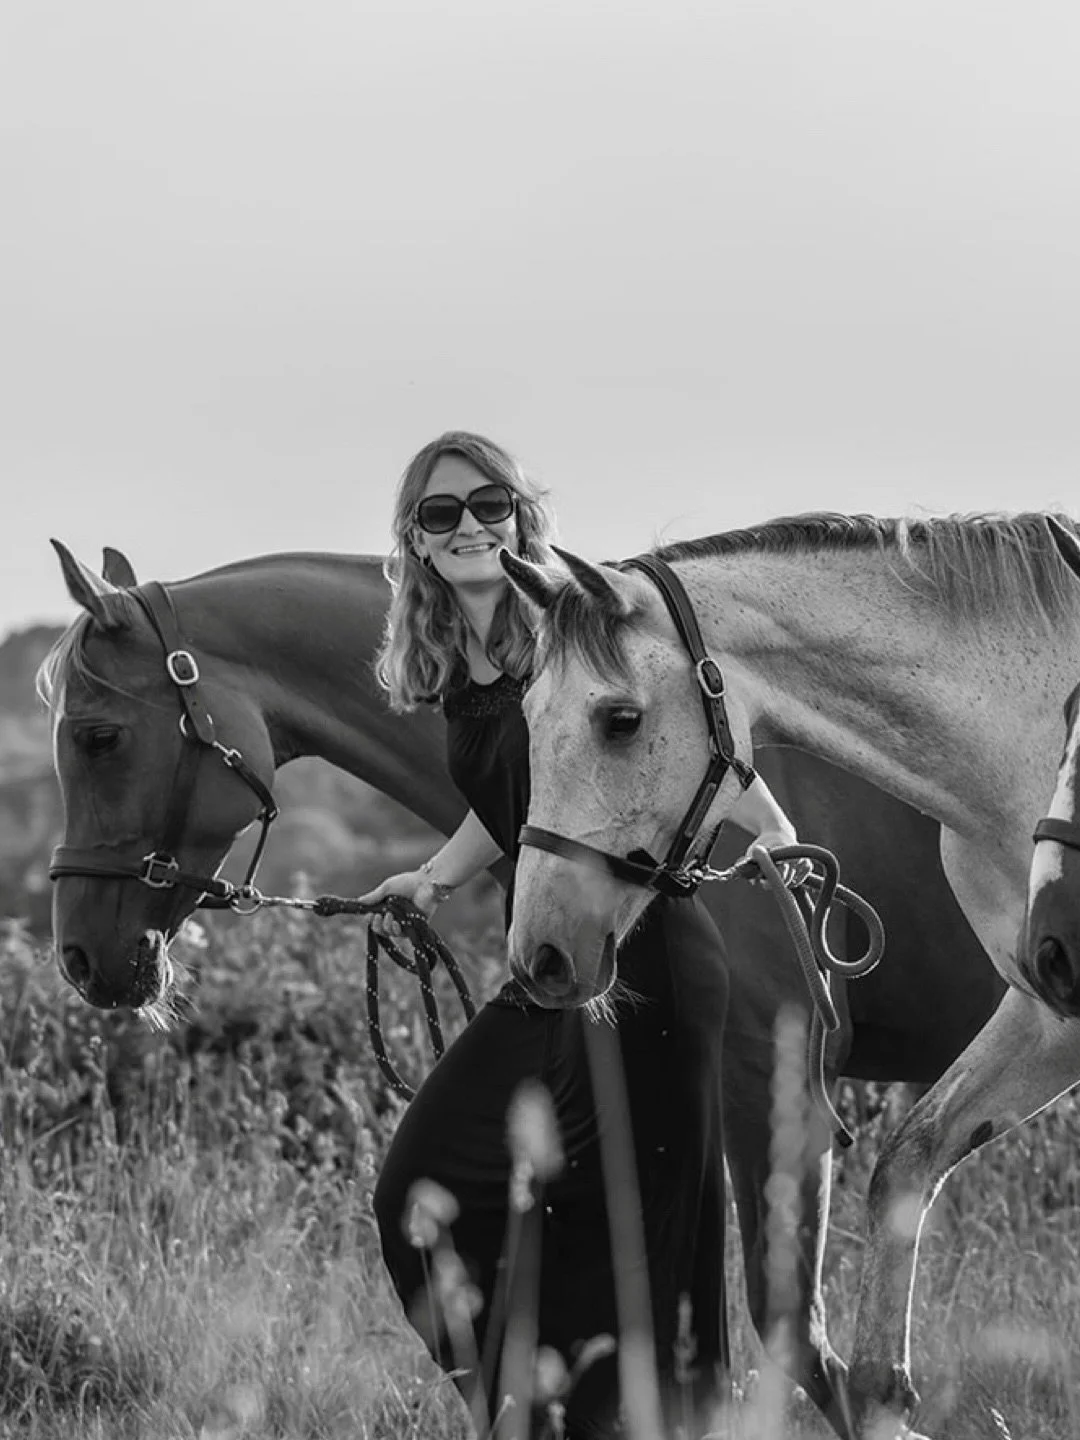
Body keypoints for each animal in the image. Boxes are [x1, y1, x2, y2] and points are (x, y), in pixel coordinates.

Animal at [499, 510, 1080, 1440]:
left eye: (619, 720)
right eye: (524, 712)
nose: (541, 957)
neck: (1029, 745)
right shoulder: (1046, 1014)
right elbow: (907, 1164)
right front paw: (883, 1394)